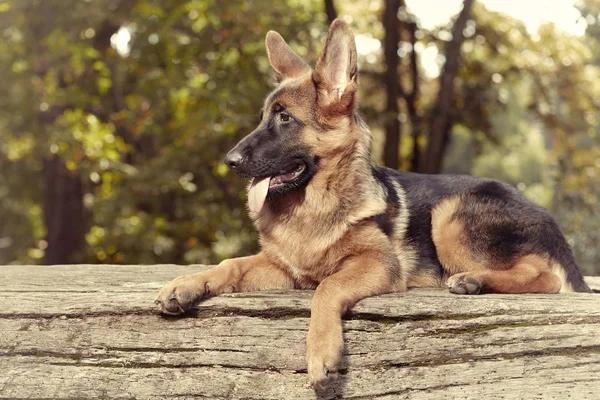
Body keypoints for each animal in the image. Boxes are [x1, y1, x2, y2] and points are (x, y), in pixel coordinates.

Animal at [155, 19, 592, 388]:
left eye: (284, 119)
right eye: (264, 117)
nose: (229, 161)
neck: (312, 204)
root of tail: (544, 215)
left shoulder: (376, 264)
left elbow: (327, 288)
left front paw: (321, 351)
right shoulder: (282, 268)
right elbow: (231, 264)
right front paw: (186, 284)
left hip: (449, 215)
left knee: (546, 277)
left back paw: (475, 280)